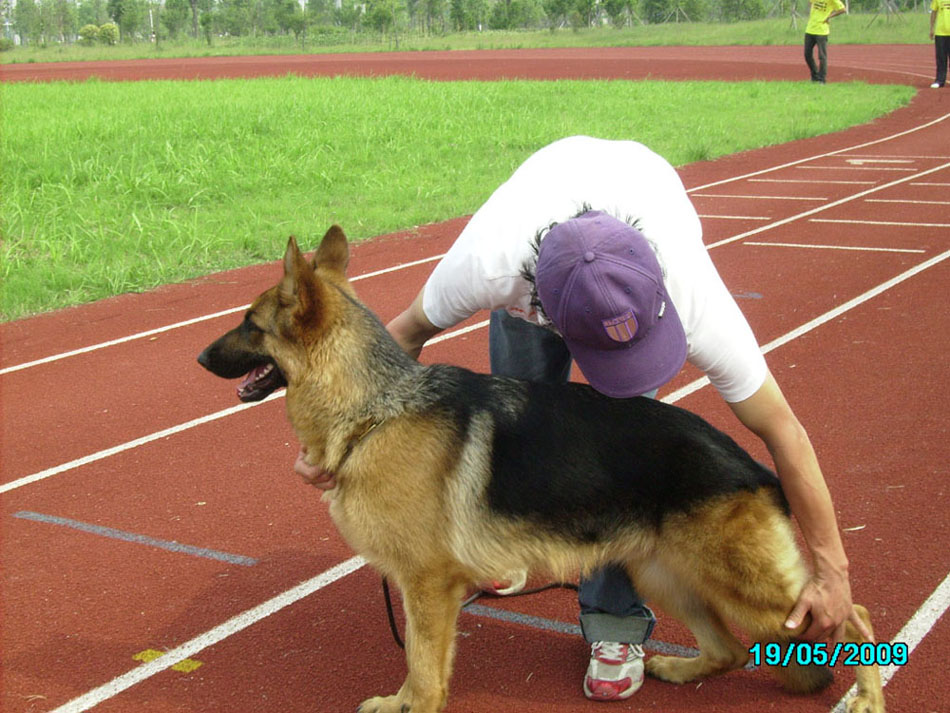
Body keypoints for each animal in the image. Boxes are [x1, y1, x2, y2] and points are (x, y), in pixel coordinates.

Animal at [197, 227, 888, 712]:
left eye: (249, 325)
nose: (200, 358)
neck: (376, 407)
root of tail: (751, 463)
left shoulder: (426, 587)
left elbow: (423, 667)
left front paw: (408, 705)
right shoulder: (426, 589)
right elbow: (420, 663)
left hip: (743, 583)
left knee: (853, 615)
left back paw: (869, 692)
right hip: (664, 571)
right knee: (733, 650)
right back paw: (681, 667)